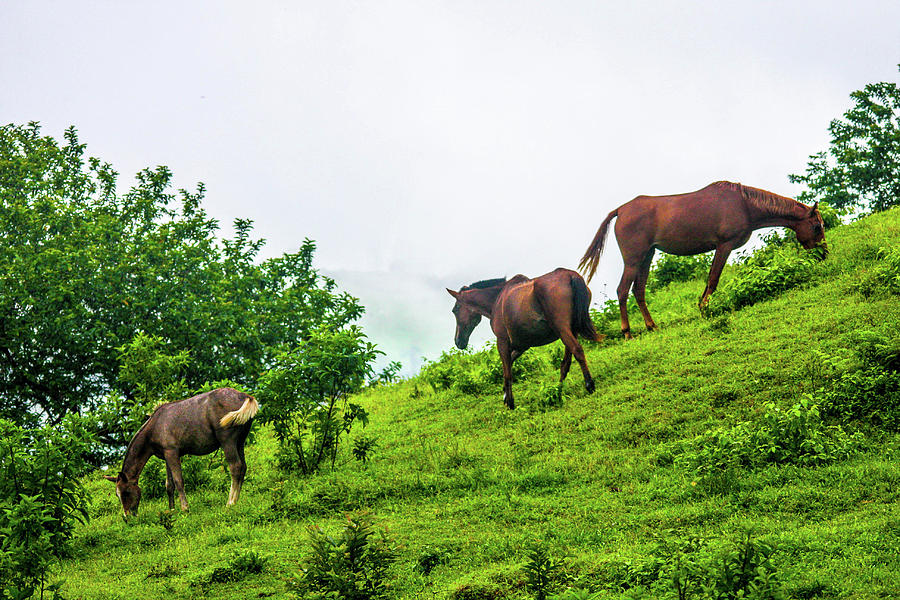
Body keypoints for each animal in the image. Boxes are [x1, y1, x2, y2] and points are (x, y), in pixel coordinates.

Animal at [107, 390, 260, 516]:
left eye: (126, 492)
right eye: (117, 495)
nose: (127, 517)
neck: (155, 426)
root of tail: (246, 396)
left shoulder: (172, 453)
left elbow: (178, 481)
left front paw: (185, 508)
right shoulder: (166, 456)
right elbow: (169, 485)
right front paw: (172, 510)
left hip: (227, 441)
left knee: (235, 467)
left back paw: (230, 503)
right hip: (240, 441)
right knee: (243, 467)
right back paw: (237, 500)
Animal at [446, 270, 600, 410]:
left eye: (455, 309)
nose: (458, 341)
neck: (497, 299)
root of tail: (570, 275)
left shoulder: (502, 342)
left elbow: (507, 373)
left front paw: (510, 403)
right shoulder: (522, 345)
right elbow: (508, 366)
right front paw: (505, 395)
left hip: (563, 330)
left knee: (577, 351)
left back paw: (589, 385)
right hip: (572, 330)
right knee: (566, 363)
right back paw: (557, 390)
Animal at [580, 180, 828, 338]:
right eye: (817, 226)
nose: (824, 254)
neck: (744, 204)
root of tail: (621, 211)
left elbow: (710, 280)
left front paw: (702, 306)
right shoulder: (724, 246)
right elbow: (713, 279)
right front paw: (704, 308)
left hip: (647, 256)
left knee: (638, 290)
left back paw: (652, 326)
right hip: (633, 260)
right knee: (622, 291)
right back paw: (627, 333)